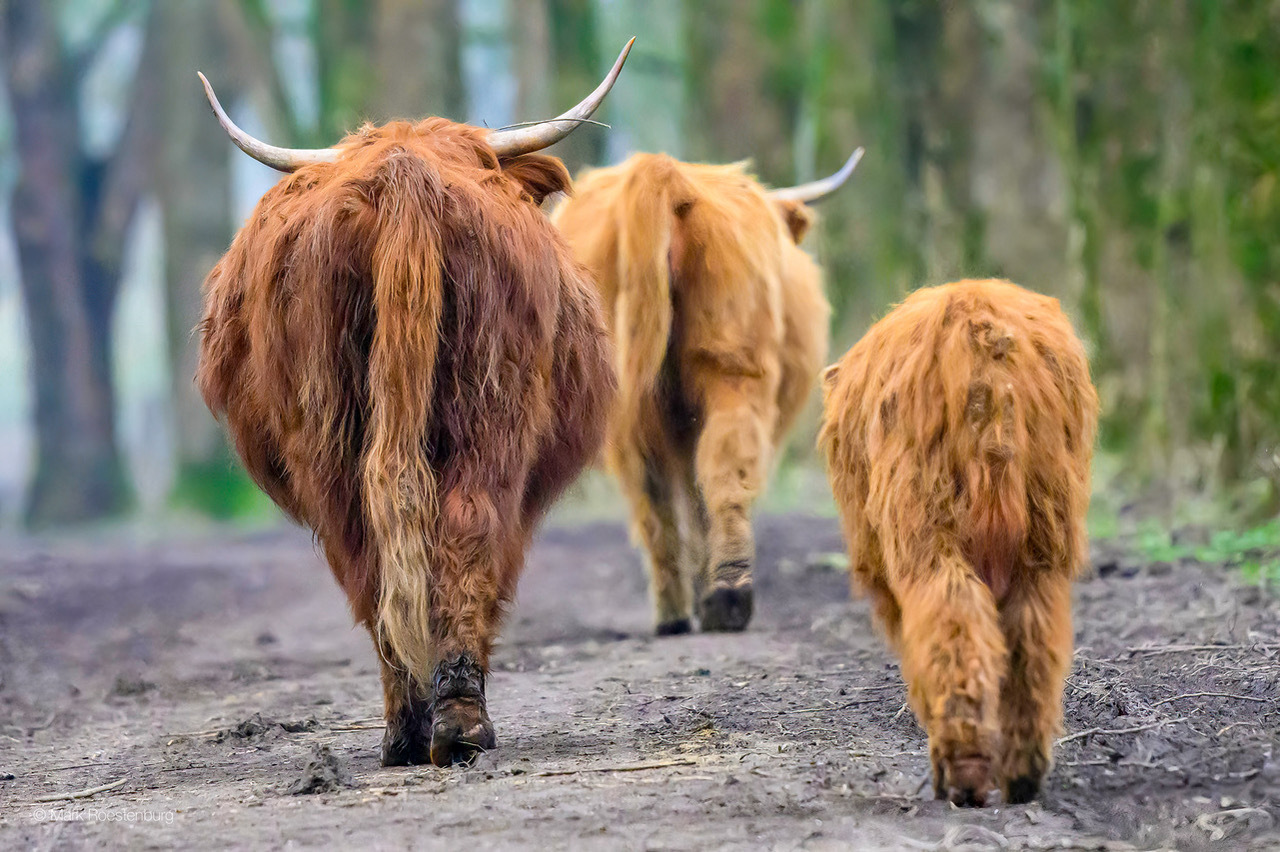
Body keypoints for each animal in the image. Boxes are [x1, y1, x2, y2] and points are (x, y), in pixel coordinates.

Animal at [193, 43, 629, 767]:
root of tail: (403, 176)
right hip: (491, 406)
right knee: (455, 526)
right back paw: (439, 725)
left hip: (341, 428)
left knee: (379, 542)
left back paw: (429, 723)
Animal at [550, 149, 860, 634]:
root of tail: (663, 170)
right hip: (731, 365)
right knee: (721, 468)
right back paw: (725, 595)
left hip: (648, 392)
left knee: (658, 493)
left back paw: (680, 610)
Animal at [819, 277, 1100, 803]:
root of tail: (978, 324)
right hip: (1043, 539)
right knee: (1033, 643)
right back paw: (1022, 773)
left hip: (925, 531)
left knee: (953, 621)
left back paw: (963, 770)